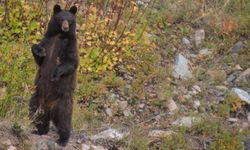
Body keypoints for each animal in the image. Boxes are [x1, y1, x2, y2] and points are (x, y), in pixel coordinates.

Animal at [28, 4, 78, 146]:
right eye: (61, 19)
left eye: (69, 20)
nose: (65, 27)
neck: (59, 35)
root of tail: (49, 108)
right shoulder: (47, 40)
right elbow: (39, 57)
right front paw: (39, 51)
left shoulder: (70, 44)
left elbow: (70, 62)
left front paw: (55, 74)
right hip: (37, 98)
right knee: (36, 114)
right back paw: (39, 131)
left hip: (62, 103)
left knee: (64, 121)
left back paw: (63, 140)